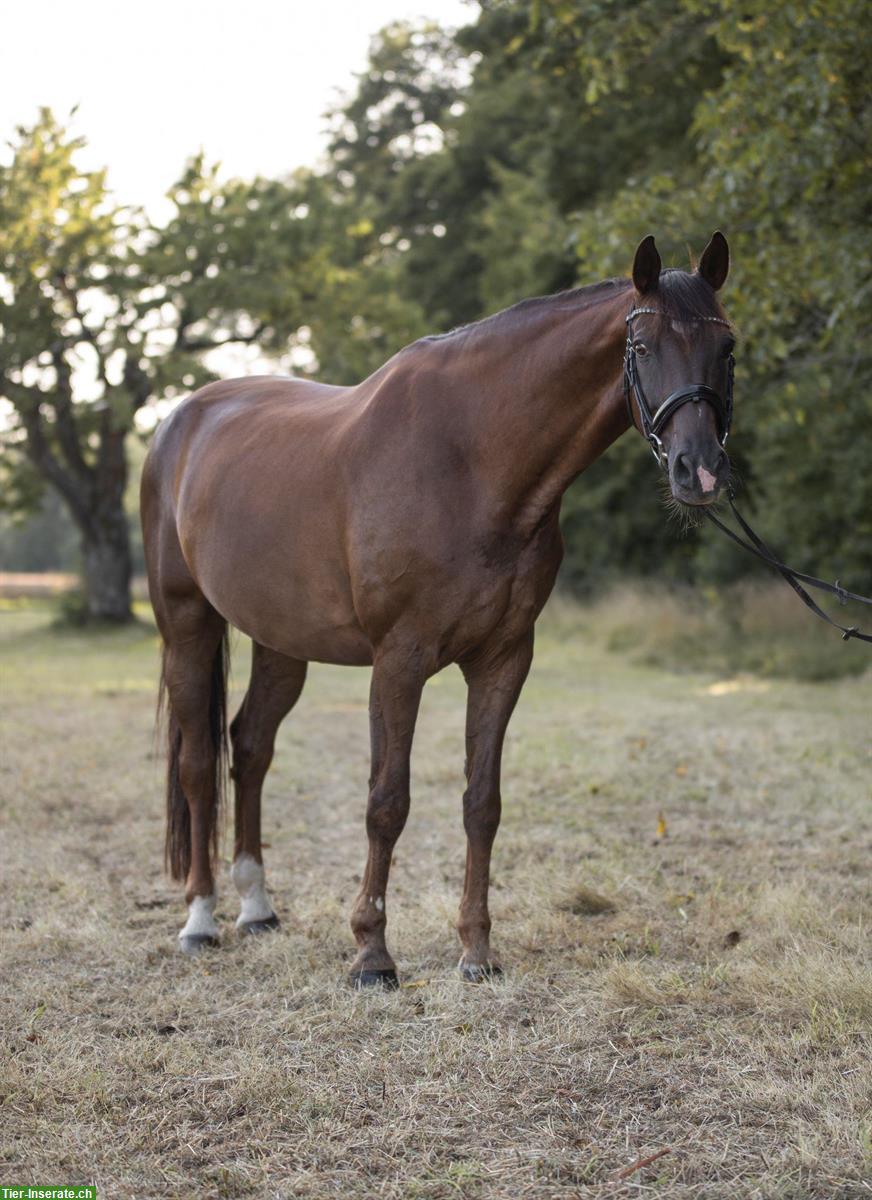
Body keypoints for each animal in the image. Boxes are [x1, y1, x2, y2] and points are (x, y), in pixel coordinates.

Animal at [139, 229, 734, 979]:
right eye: (645, 346)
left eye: (727, 347)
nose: (700, 472)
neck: (472, 461)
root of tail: (176, 425)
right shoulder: (400, 660)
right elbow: (386, 802)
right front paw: (371, 953)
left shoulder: (503, 659)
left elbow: (483, 802)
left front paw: (476, 950)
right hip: (186, 623)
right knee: (196, 764)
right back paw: (200, 919)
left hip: (279, 640)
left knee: (249, 748)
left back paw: (257, 907)